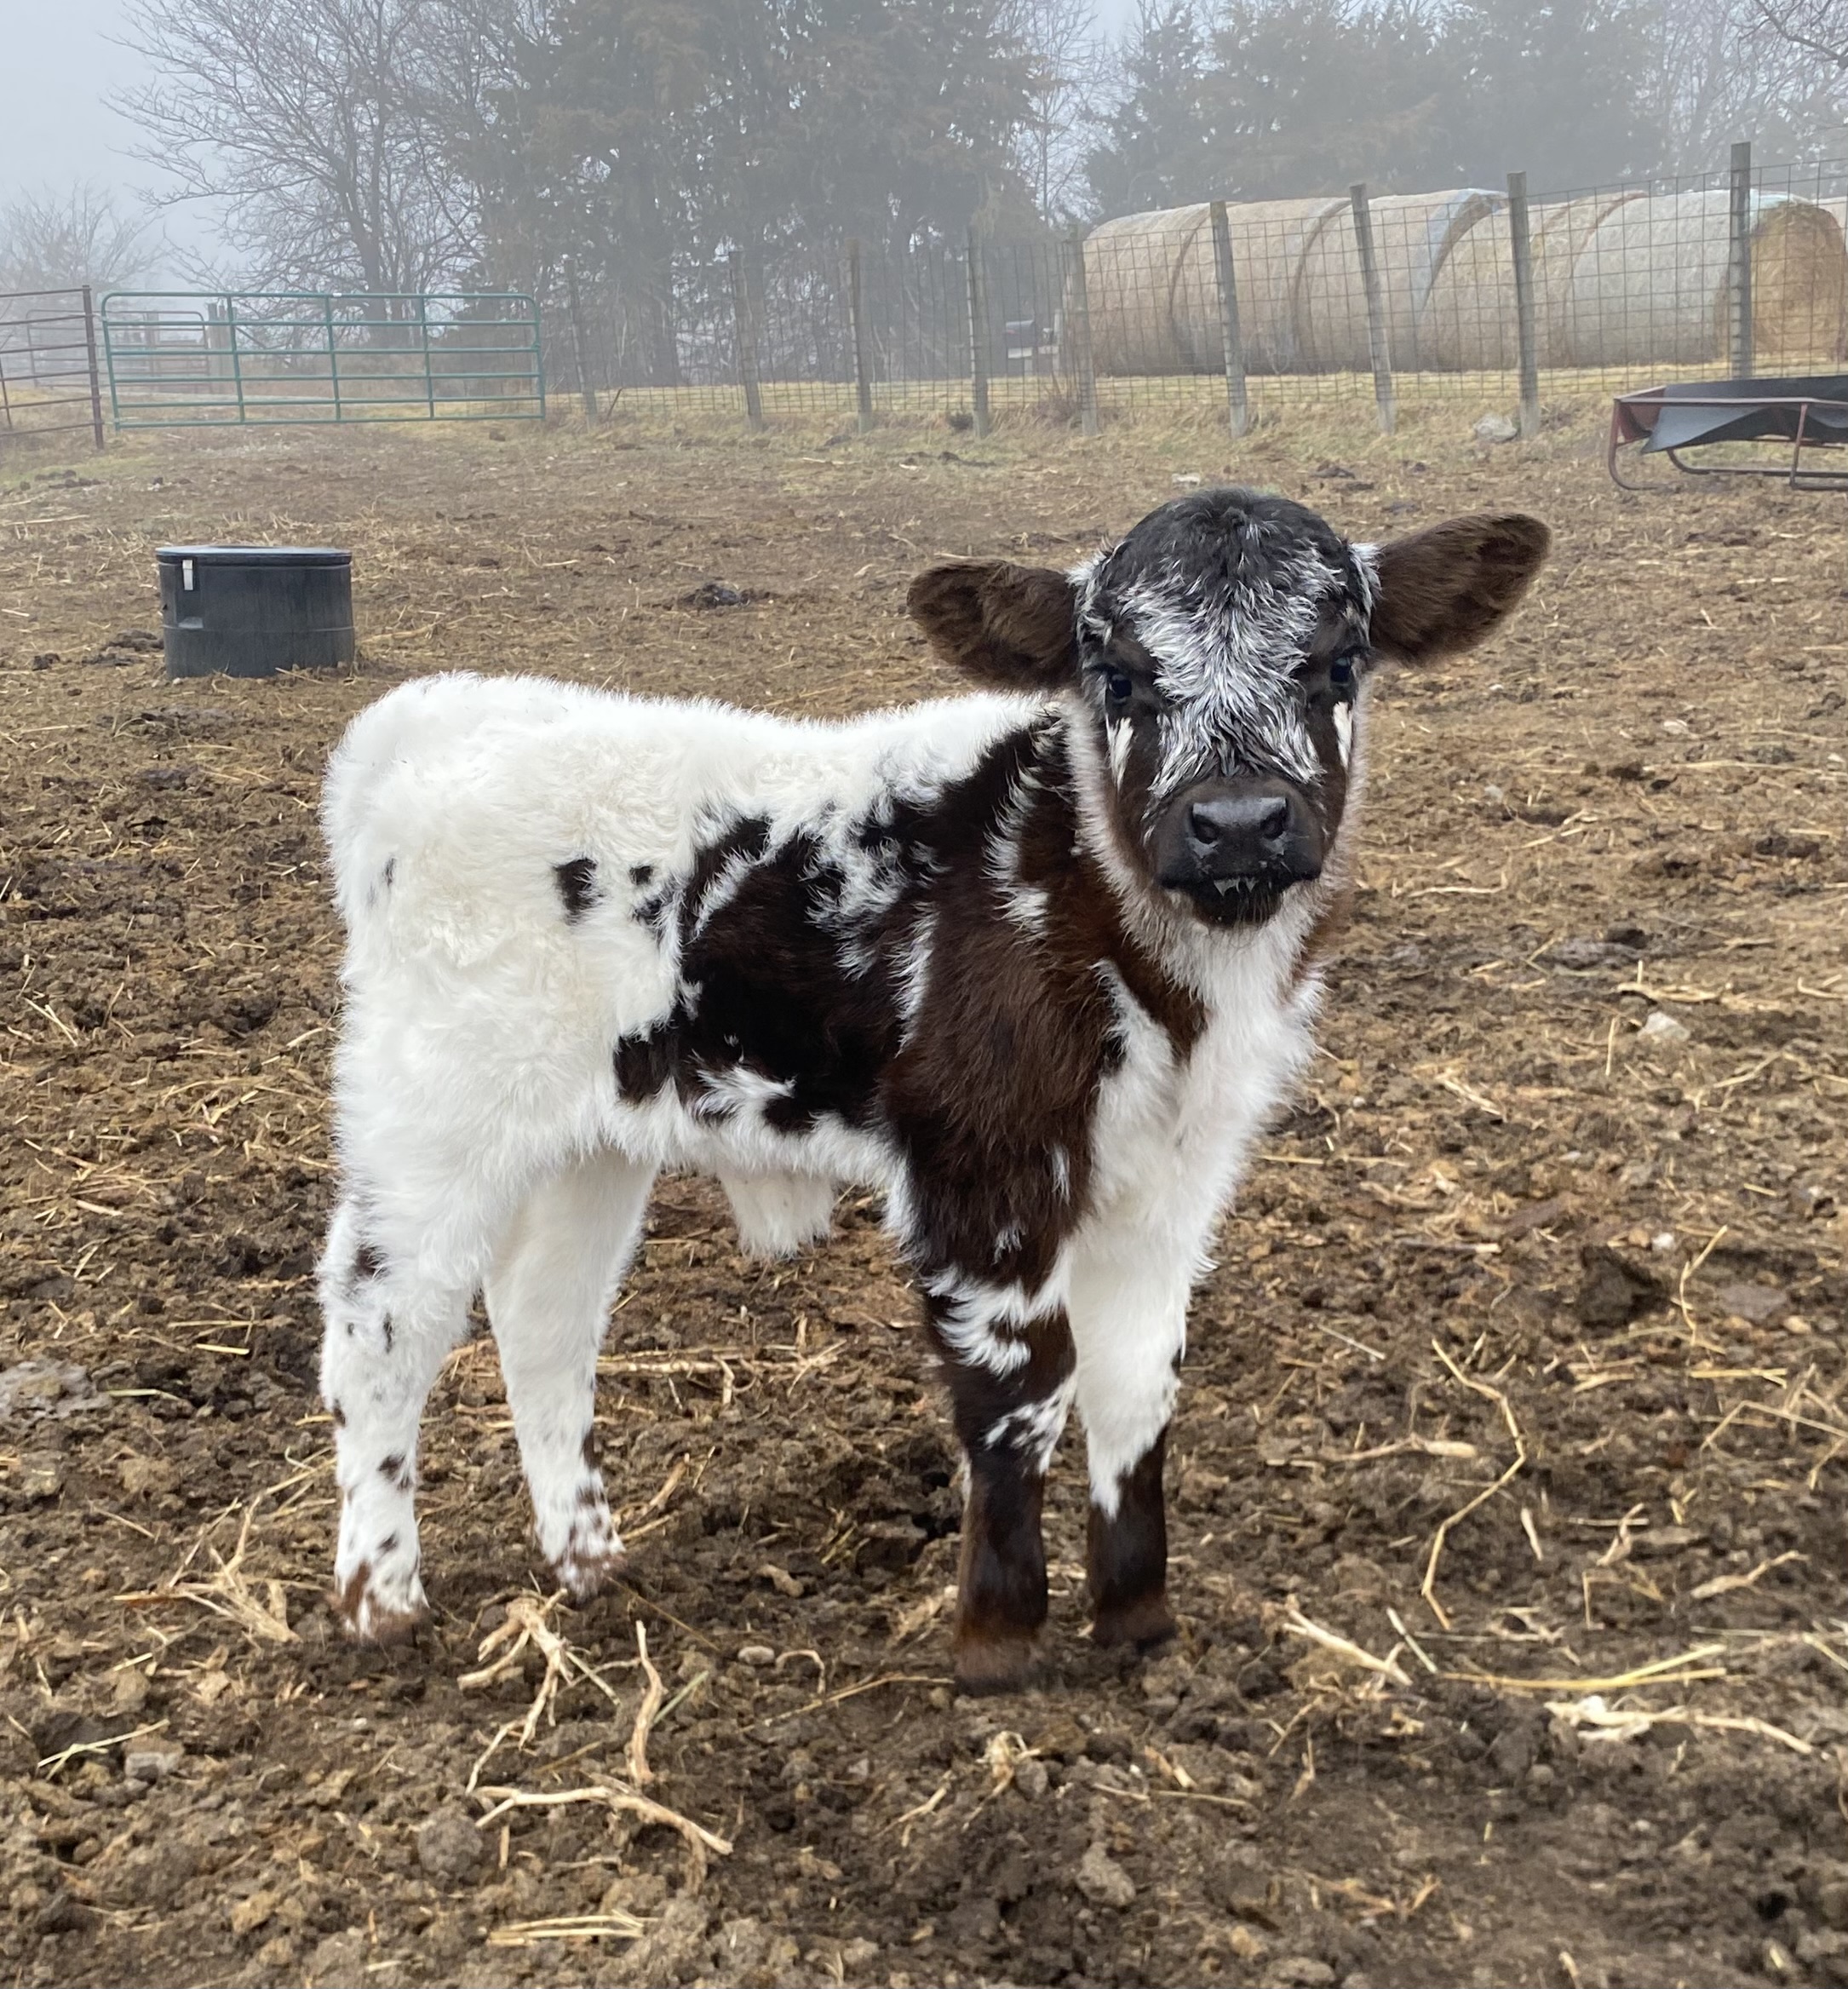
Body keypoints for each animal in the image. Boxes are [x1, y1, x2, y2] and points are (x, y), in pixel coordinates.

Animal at [317, 485, 1548, 1692]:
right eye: (1115, 672)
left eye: (1336, 660)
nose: (1237, 822)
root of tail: (430, 719)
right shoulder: (981, 1169)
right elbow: (1019, 1389)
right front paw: (997, 1640)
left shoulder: (1173, 1178)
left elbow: (1137, 1379)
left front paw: (1138, 1621)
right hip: (428, 1114)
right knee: (384, 1323)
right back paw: (380, 1599)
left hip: (593, 1138)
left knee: (544, 1318)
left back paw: (589, 1559)